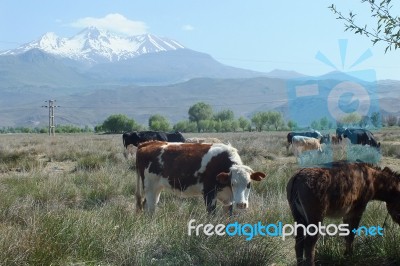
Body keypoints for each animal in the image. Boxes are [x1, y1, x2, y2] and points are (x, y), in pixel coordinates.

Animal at [136, 141, 268, 214]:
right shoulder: (209, 193)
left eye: (249, 184)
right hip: (150, 187)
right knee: (150, 208)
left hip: (157, 188)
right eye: (233, 183)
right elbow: (211, 215)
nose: (241, 204)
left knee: (146, 205)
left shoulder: (228, 199)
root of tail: (148, 143)